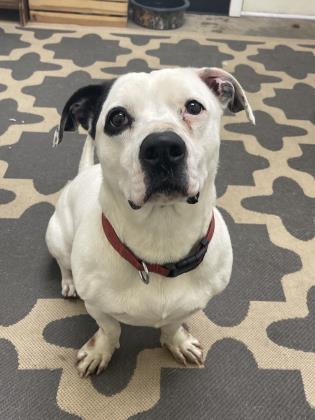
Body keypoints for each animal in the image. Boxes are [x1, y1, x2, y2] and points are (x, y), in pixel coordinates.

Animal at [45, 66, 256, 378]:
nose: (163, 147)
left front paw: (178, 342)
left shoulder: (192, 304)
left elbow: (172, 324)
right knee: (64, 264)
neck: (161, 233)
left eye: (194, 106)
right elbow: (109, 329)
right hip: (57, 237)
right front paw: (99, 352)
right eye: (117, 117)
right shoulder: (96, 306)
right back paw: (69, 283)